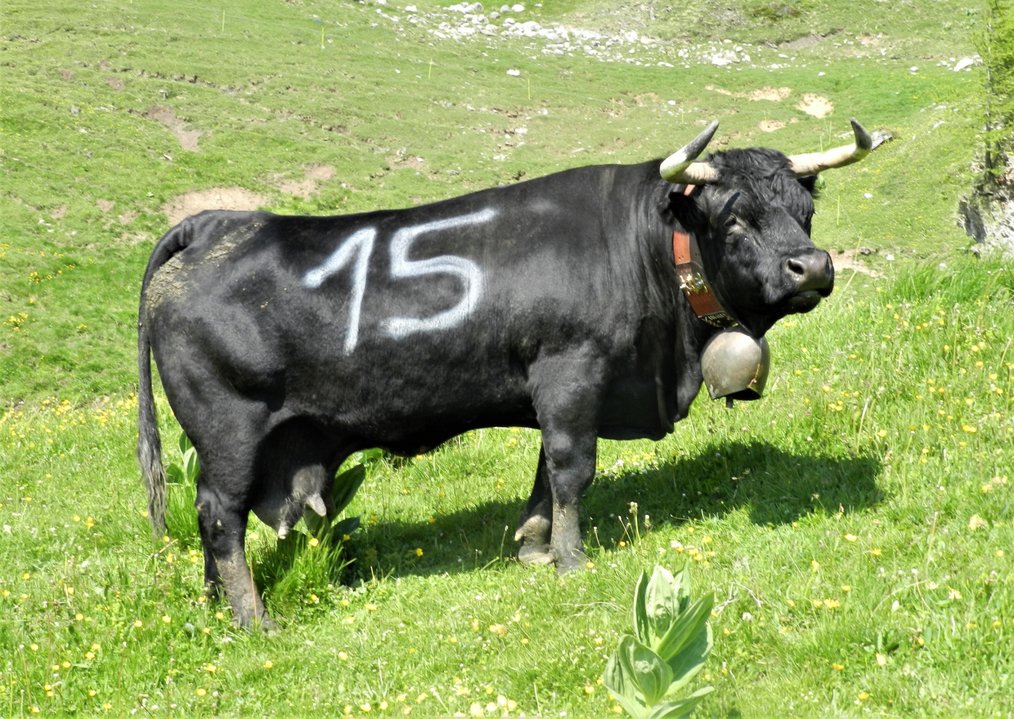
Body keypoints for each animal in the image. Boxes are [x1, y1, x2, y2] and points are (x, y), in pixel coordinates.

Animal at [138, 120, 884, 624]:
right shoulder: (570, 369)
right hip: (229, 430)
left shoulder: (561, 387)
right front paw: (571, 557)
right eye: (734, 220)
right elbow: (571, 467)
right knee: (220, 516)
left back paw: (216, 603)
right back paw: (252, 615)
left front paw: (532, 542)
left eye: (806, 212)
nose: (813, 267)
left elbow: (544, 469)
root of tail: (216, 224)